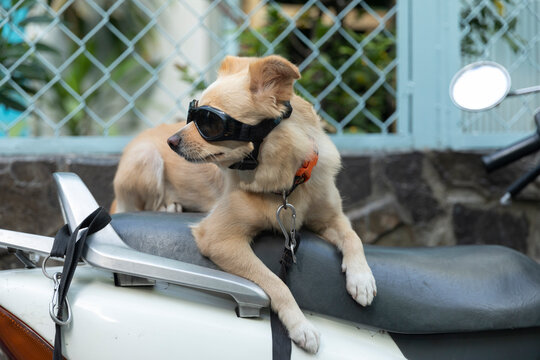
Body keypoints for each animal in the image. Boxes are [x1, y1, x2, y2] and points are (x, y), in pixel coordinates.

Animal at [113, 54, 376, 352]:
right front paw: (301, 325)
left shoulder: (332, 218)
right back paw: (168, 206)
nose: (171, 141)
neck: (282, 184)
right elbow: (275, 282)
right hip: (146, 159)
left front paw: (362, 279)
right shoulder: (219, 239)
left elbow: (353, 236)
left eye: (209, 122)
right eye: (193, 114)